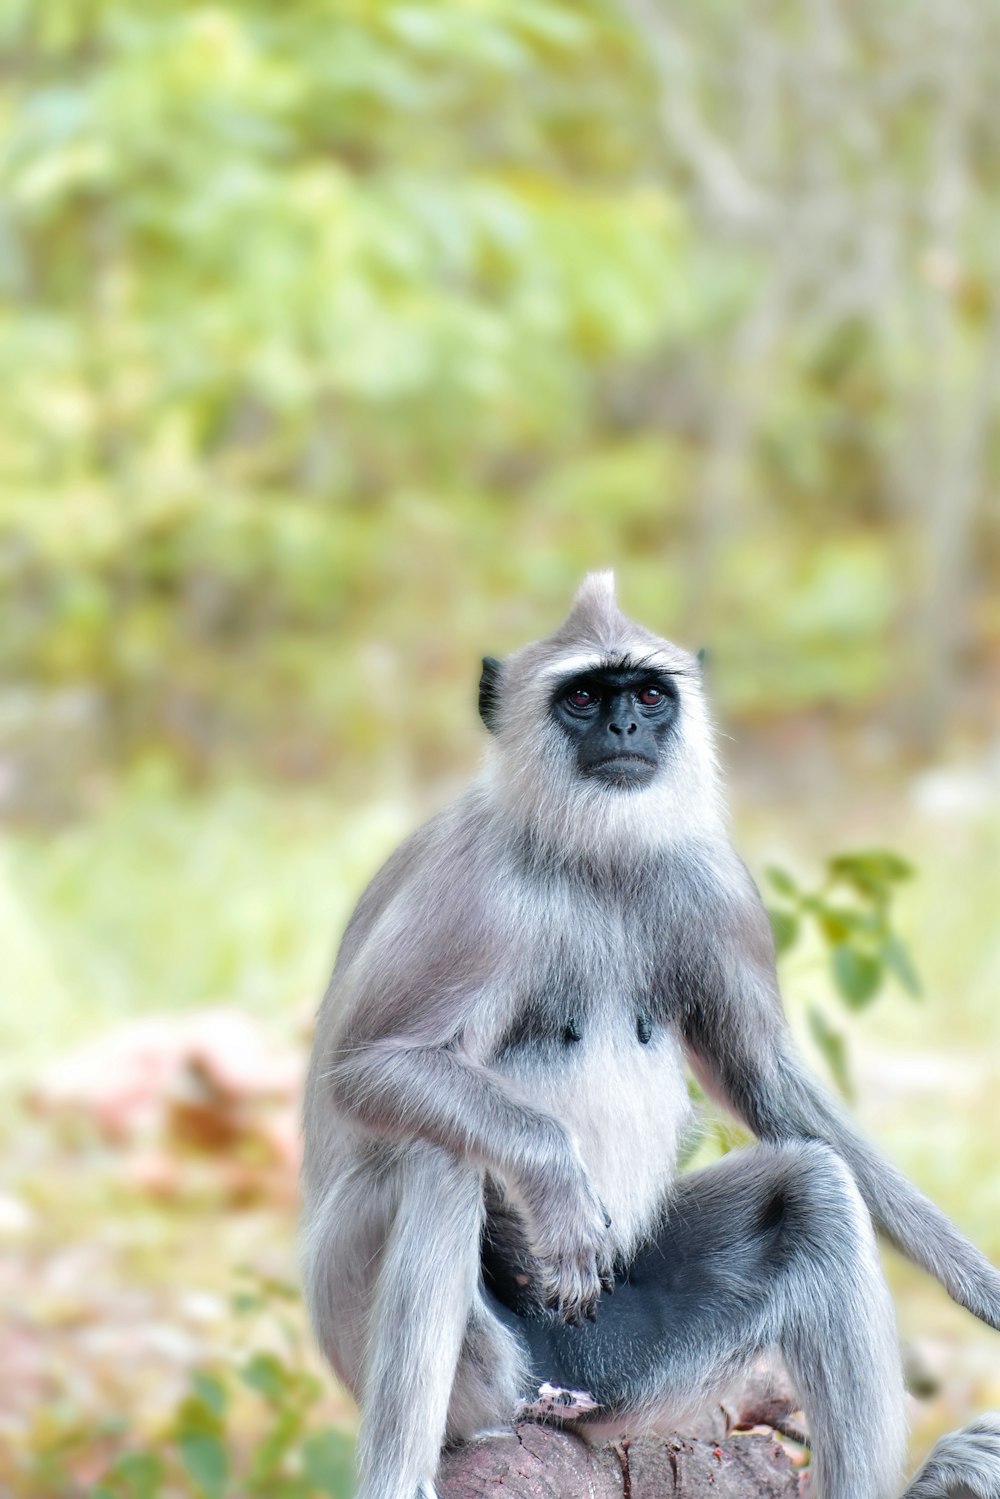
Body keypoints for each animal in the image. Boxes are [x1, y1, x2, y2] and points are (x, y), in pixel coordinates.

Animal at [301, 569, 1000, 1499]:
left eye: (648, 695)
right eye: (584, 696)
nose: (625, 728)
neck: (595, 860)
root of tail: (559, 1398)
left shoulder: (714, 883)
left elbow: (766, 1081)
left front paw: (983, 1284)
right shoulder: (470, 887)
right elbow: (365, 1069)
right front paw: (557, 1181)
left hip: (631, 1373)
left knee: (812, 1186)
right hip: (438, 1351)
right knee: (438, 1158)